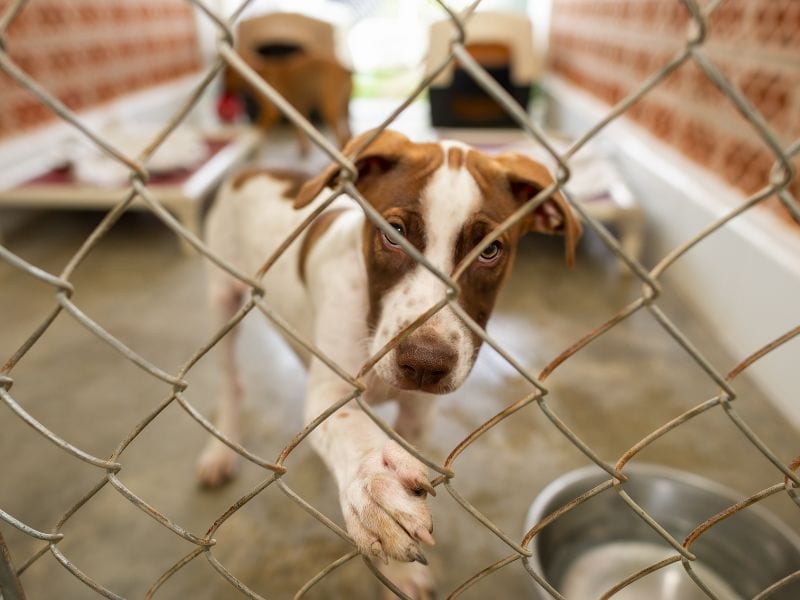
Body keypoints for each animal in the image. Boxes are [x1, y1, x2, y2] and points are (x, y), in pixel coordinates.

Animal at [196, 129, 580, 596]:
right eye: (392, 234)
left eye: (491, 250)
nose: (425, 364)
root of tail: (253, 169)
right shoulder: (333, 391)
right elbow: (347, 427)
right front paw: (373, 485)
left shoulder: (418, 412)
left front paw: (401, 575)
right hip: (222, 300)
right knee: (230, 382)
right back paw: (220, 451)